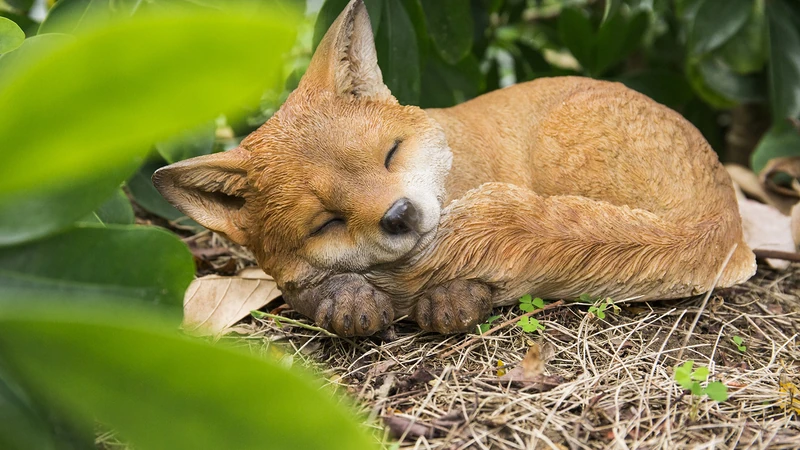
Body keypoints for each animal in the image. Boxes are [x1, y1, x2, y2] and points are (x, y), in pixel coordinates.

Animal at [154, 0, 756, 336]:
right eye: (326, 222)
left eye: (390, 154)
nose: (399, 215)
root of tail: (721, 216)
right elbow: (314, 287)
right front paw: (346, 298)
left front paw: (454, 297)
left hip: (560, 148)